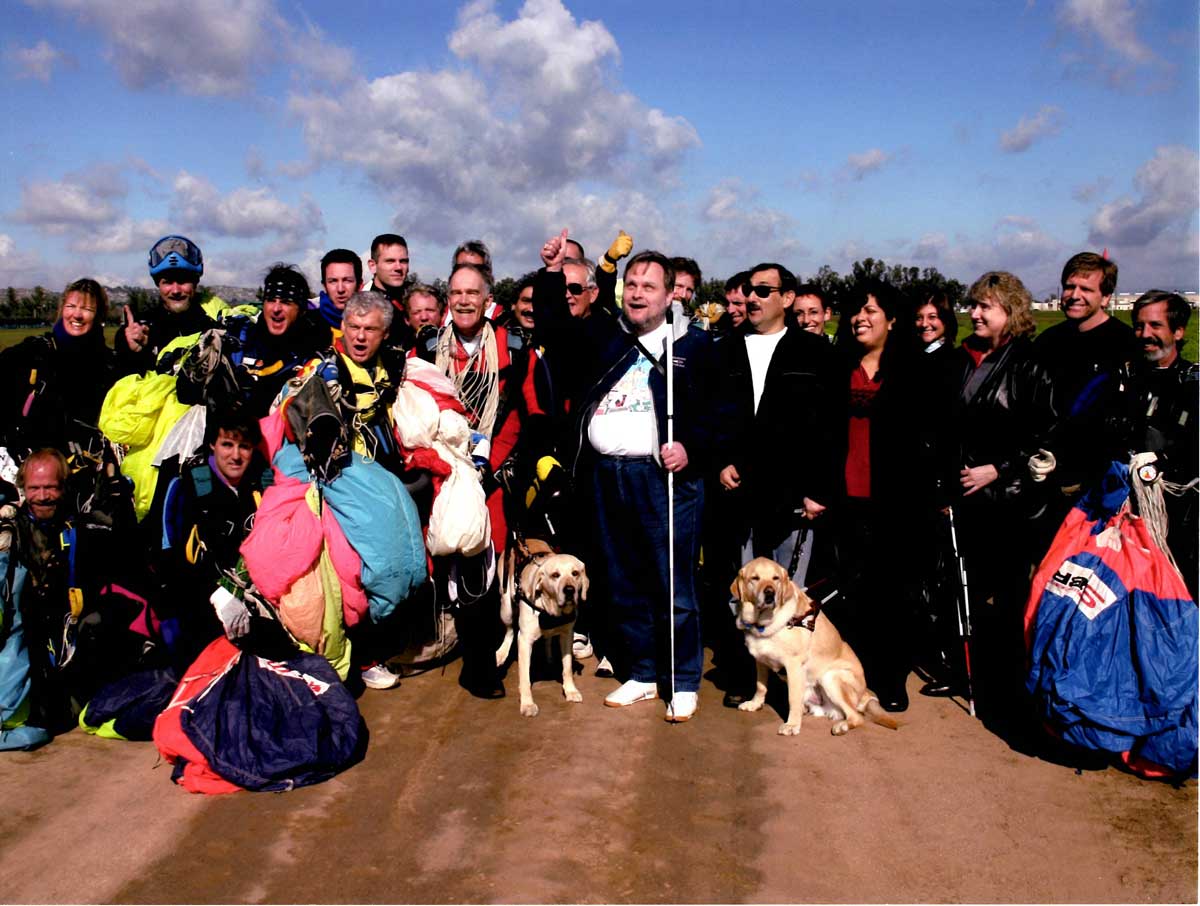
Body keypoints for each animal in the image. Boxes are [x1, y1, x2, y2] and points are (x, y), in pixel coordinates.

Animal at [494, 537, 588, 715]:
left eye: (575, 573)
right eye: (555, 575)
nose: (569, 590)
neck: (550, 610)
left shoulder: (567, 635)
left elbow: (567, 668)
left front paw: (570, 690)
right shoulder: (524, 641)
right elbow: (525, 677)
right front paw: (527, 704)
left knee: (548, 639)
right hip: (506, 607)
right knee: (509, 631)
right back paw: (502, 653)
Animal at [729, 559, 902, 739]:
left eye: (775, 578)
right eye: (755, 578)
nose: (770, 593)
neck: (764, 623)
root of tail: (866, 694)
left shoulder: (794, 665)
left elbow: (793, 698)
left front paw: (792, 725)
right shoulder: (761, 660)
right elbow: (761, 686)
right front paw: (755, 704)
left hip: (830, 677)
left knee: (856, 716)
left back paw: (841, 727)